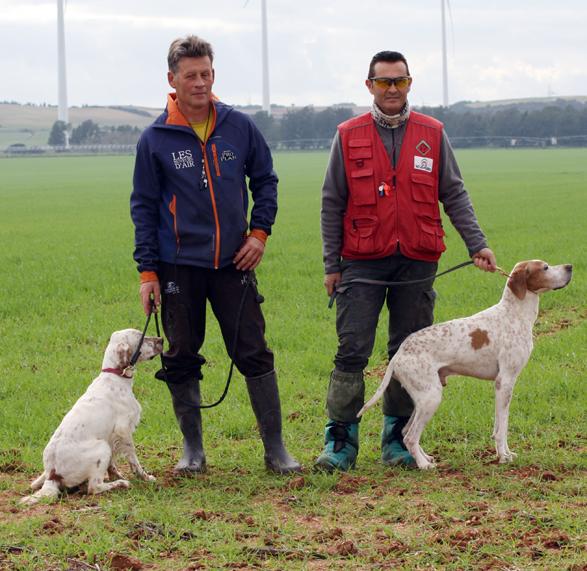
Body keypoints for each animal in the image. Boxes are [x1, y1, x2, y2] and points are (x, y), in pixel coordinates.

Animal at [21, 328, 163, 508]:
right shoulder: (123, 430)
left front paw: (118, 474)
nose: (162, 339)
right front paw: (144, 477)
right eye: (141, 338)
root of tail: (53, 475)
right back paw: (120, 484)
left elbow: (112, 465)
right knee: (93, 487)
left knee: (36, 484)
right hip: (102, 447)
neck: (115, 377)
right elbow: (133, 459)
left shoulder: (112, 436)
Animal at [358, 262, 576, 472]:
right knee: (410, 436)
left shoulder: (501, 386)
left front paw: (505, 453)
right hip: (431, 397)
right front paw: (503, 457)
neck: (514, 314)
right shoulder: (505, 382)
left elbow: (499, 425)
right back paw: (424, 465)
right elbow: (503, 427)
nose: (570, 267)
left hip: (422, 399)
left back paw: (425, 458)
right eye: (545, 267)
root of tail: (399, 355)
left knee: (405, 431)